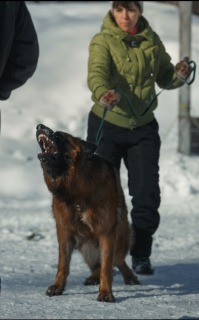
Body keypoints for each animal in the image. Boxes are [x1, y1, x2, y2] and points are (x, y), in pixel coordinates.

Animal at [36, 123, 138, 302]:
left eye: (59, 135)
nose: (39, 126)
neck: (76, 191)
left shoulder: (107, 233)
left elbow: (106, 267)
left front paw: (105, 292)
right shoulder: (64, 233)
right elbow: (63, 264)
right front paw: (58, 287)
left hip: (119, 236)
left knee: (117, 260)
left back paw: (129, 276)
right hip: (87, 247)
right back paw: (93, 277)